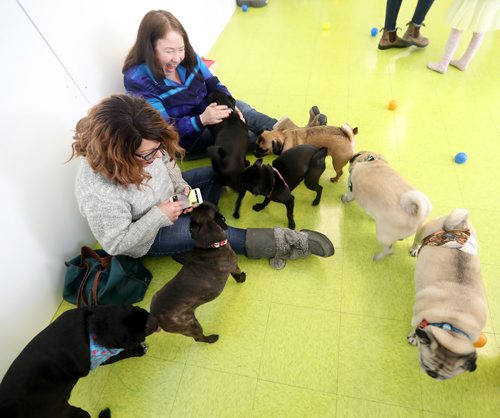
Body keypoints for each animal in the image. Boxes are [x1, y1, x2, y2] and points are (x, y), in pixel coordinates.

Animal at [0, 304, 149, 418]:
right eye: (131, 338)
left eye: (133, 307)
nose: (149, 316)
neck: (91, 326)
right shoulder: (100, 358)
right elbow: (121, 354)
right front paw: (138, 350)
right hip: (70, 412)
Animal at [146, 202, 245, 342]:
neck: (211, 246)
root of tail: (154, 316)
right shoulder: (234, 266)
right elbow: (238, 276)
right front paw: (243, 278)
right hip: (191, 324)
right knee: (199, 338)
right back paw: (212, 338)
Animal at [408, 207, 486, 380]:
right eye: (426, 364)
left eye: (446, 376)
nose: (432, 375)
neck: (452, 325)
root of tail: (459, 225)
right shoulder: (418, 320)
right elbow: (416, 330)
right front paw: (414, 338)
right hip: (423, 231)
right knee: (417, 240)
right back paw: (415, 249)